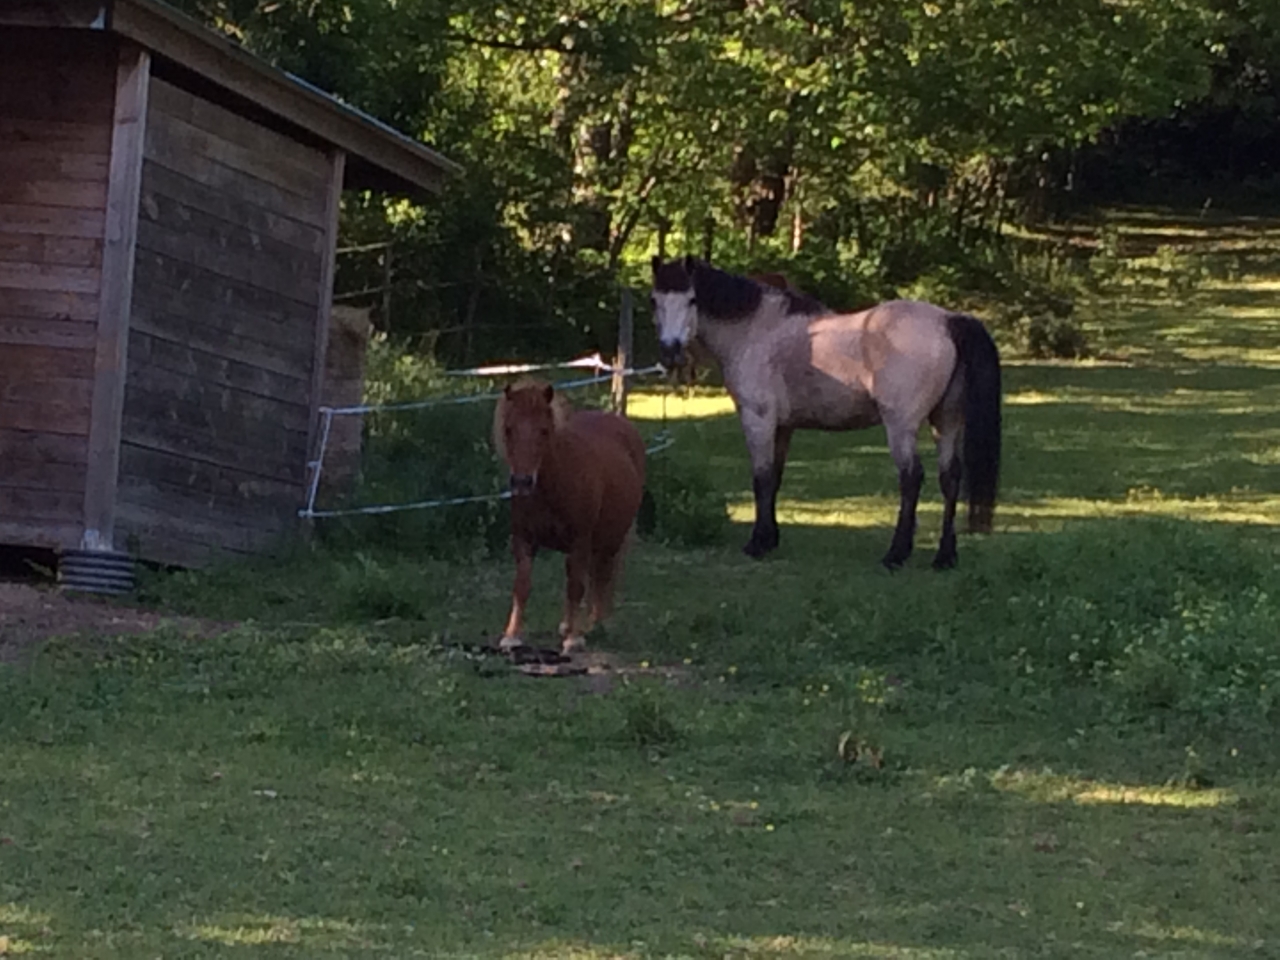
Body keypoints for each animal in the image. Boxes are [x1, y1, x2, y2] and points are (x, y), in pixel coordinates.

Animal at [493, 379, 647, 653]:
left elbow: (576, 586)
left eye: (544, 431)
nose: (522, 482)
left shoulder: (580, 540)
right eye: (508, 429)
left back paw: (597, 624)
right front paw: (511, 636)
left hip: (611, 539)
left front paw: (574, 639)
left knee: (603, 576)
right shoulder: (523, 540)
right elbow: (522, 586)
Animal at [649, 255, 1002, 570]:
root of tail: (947, 321)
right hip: (946, 422)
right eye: (655, 301)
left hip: (901, 426)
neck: (755, 329)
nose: (669, 350)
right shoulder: (784, 427)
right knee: (950, 478)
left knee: (911, 478)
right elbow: (774, 479)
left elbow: (761, 478)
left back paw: (896, 555)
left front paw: (756, 544)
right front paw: (770, 539)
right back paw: (944, 557)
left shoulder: (758, 419)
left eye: (692, 299)